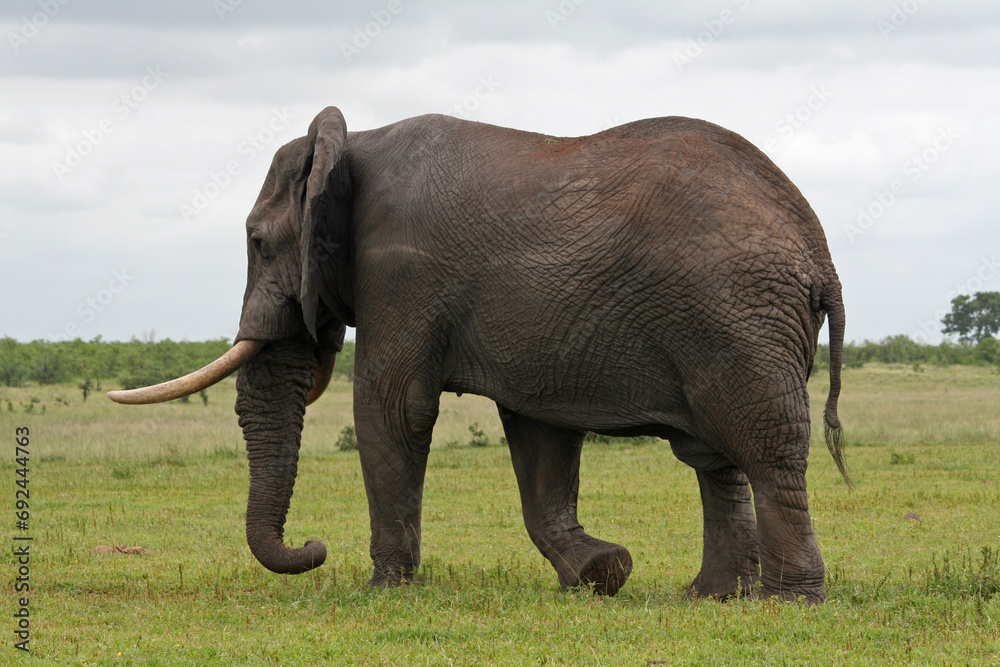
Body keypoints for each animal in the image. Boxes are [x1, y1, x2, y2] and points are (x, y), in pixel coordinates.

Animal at [110, 106, 849, 603]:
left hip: (737, 317)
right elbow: (541, 433)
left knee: (764, 447)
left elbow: (392, 409)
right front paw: (601, 574)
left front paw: (385, 589)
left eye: (258, 242)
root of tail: (820, 256)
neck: (353, 142)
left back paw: (785, 601)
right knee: (714, 458)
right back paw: (712, 596)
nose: (314, 546)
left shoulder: (401, 271)